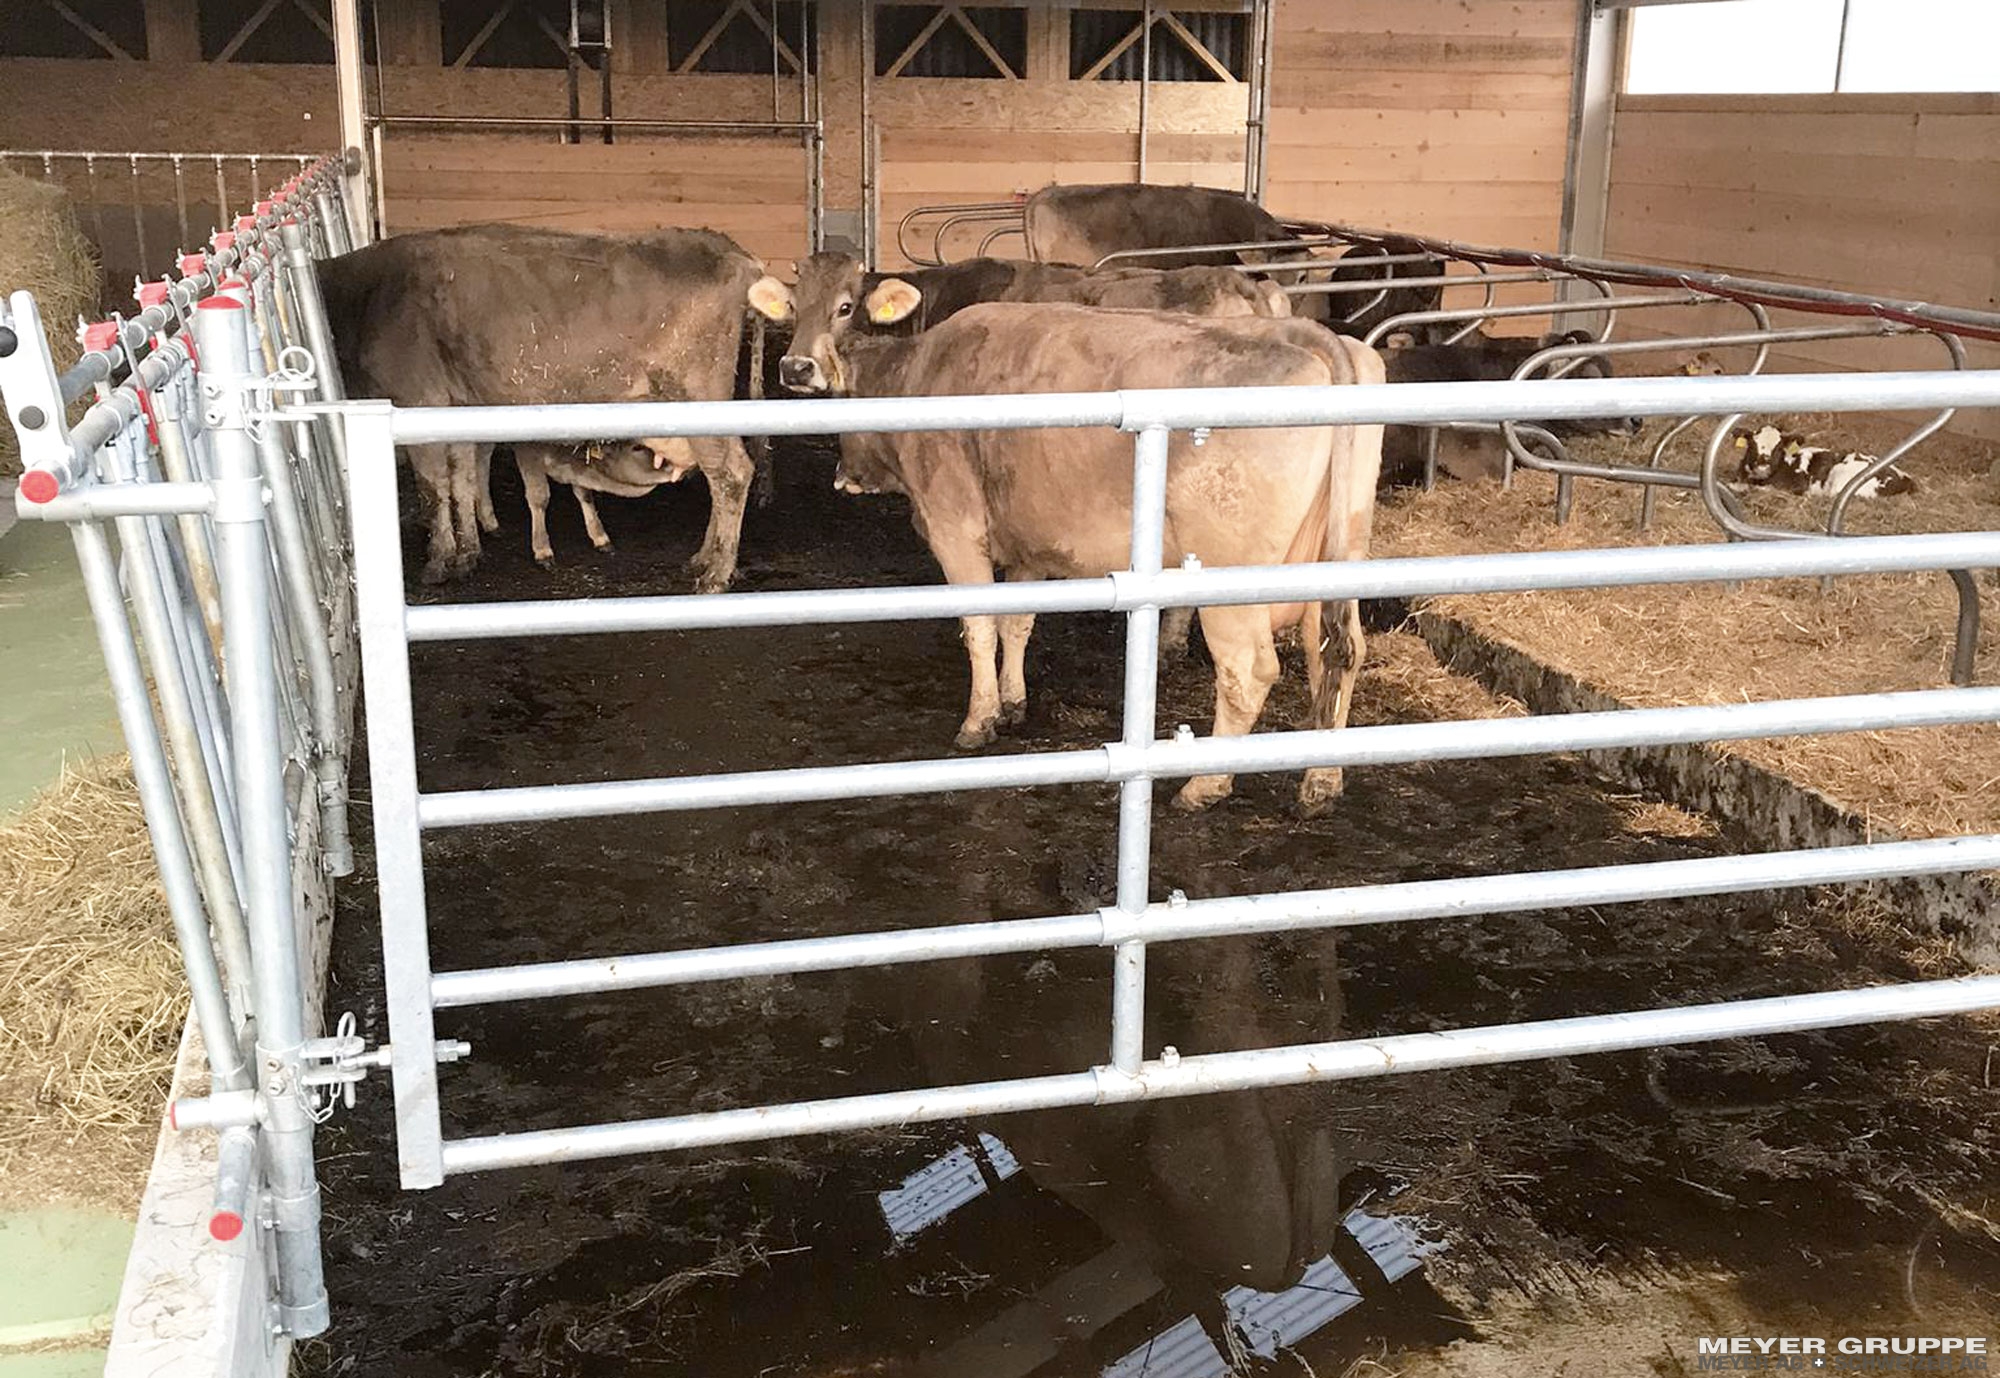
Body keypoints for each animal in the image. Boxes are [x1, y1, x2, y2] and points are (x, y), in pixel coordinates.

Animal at [319, 223, 763, 588]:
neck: (366, 297)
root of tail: (729, 250)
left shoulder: (417, 399)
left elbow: (433, 487)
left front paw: (439, 560)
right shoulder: (455, 405)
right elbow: (461, 478)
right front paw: (467, 554)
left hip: (696, 395)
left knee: (731, 473)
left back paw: (716, 573)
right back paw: (703, 557)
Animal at [749, 276, 1387, 814]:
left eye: (845, 306)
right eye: (793, 306)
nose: (795, 366)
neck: (921, 375)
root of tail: (1312, 336)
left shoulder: (955, 527)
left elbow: (979, 626)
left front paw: (979, 720)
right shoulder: (1030, 545)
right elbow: (1018, 623)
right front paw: (1013, 703)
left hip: (1231, 576)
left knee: (1249, 670)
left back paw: (1204, 785)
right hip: (1338, 552)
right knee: (1337, 652)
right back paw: (1322, 779)